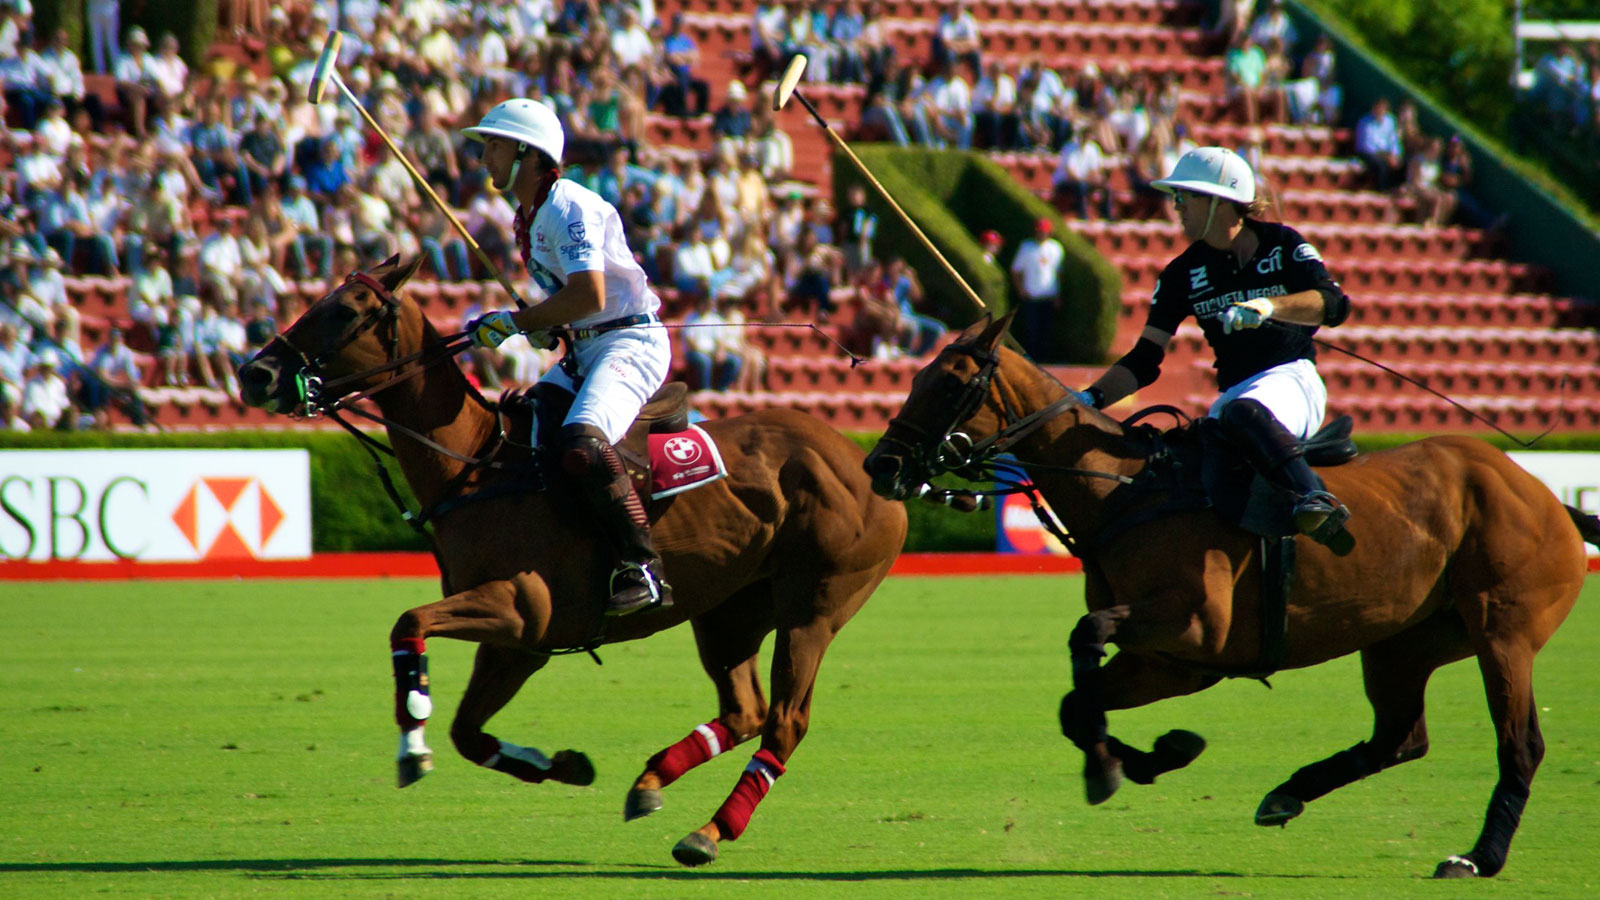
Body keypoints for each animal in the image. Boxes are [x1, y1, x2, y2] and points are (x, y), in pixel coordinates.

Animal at [238, 256, 915, 864]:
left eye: (345, 310)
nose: (254, 373)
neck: (478, 465)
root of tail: (866, 459)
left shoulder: (519, 606)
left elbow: (409, 624)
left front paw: (412, 747)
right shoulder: (519, 643)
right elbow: (466, 732)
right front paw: (560, 764)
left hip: (814, 606)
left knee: (784, 721)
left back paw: (709, 832)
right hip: (730, 609)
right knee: (743, 709)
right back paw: (650, 782)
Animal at [870, 310, 1593, 877]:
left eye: (950, 382)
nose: (882, 465)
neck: (1130, 490)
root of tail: (1542, 493)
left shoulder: (1194, 627)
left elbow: (1087, 638)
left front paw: (1119, 761)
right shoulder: (1171, 662)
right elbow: (1078, 703)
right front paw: (1144, 759)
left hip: (1503, 629)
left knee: (1520, 742)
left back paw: (1477, 856)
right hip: (1402, 641)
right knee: (1401, 737)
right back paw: (1287, 794)